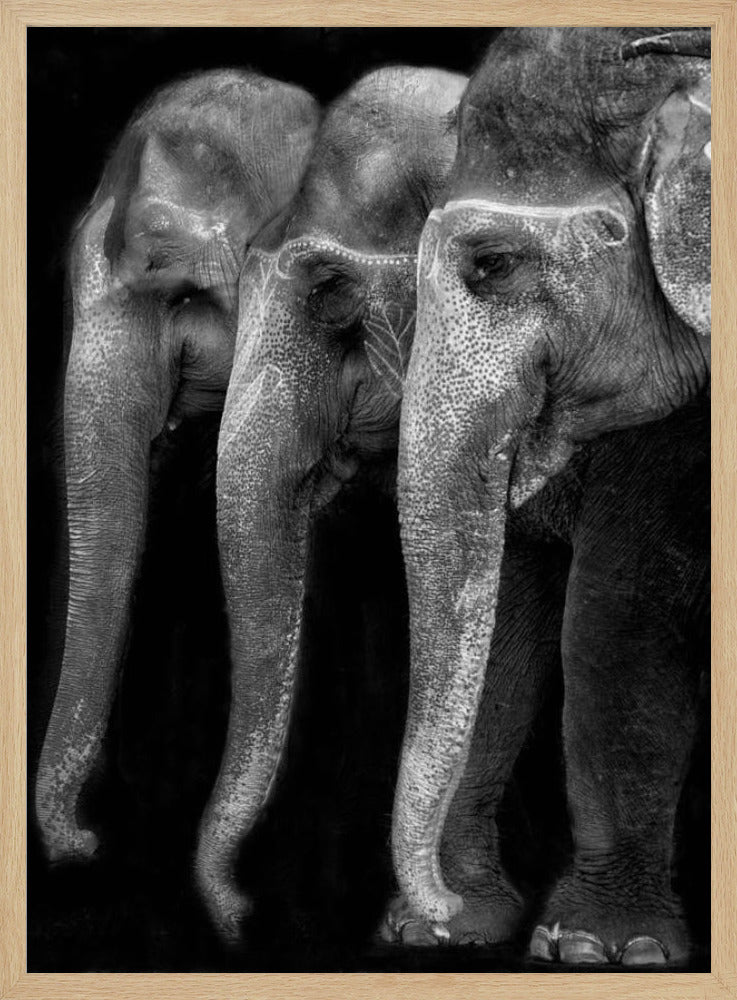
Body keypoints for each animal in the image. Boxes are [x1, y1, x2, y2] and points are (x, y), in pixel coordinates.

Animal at [389, 28, 710, 965]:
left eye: (491, 265)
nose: (433, 911)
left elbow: (618, 615)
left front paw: (602, 949)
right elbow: (520, 606)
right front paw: (461, 932)